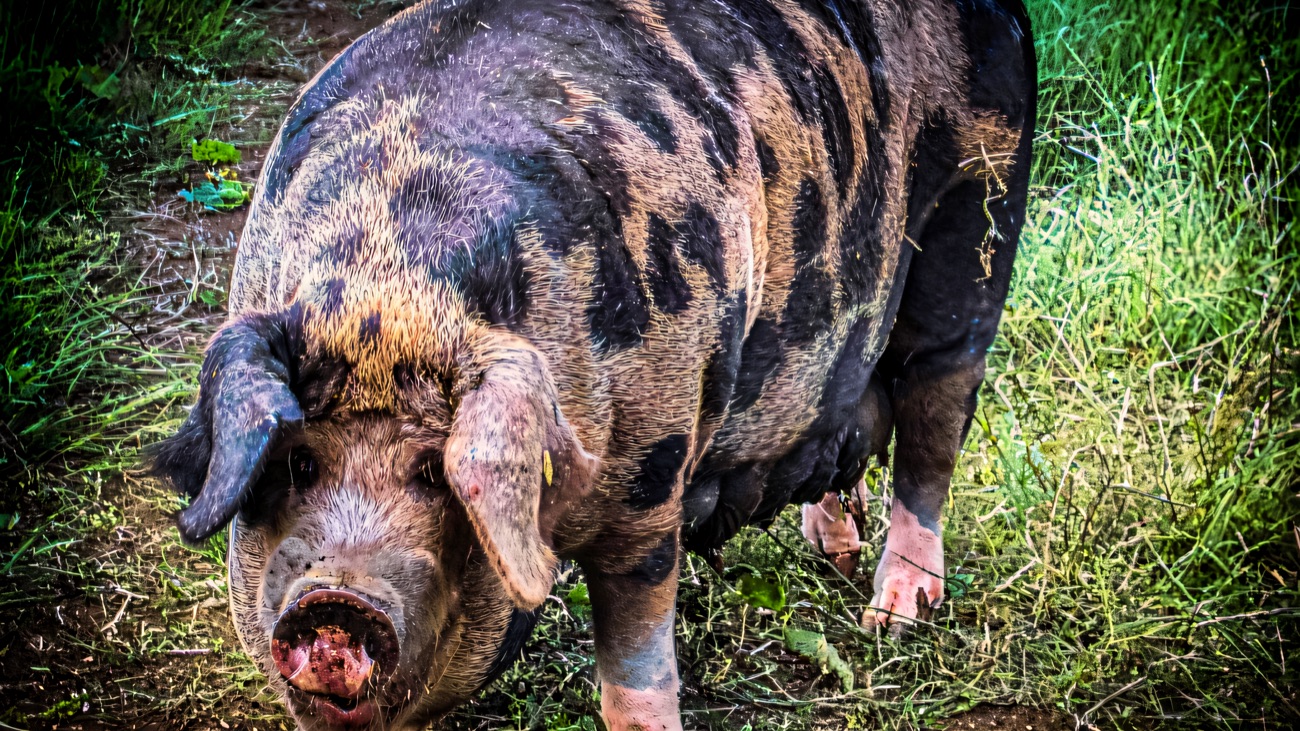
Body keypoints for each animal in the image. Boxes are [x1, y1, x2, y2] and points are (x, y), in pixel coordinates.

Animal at [150, 0, 1036, 728]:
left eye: (436, 471)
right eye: (298, 461)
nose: (334, 600)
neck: (391, 285)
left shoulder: (650, 481)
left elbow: (636, 662)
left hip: (978, 223)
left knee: (933, 424)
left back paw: (895, 613)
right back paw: (832, 549)